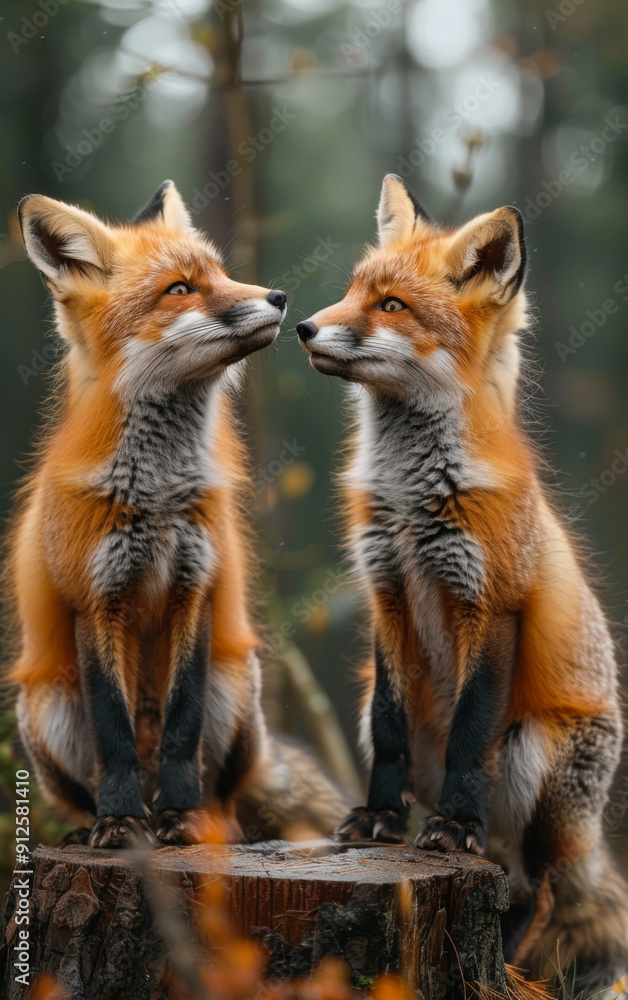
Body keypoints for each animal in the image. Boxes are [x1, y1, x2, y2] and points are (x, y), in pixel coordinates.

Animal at [9, 180, 350, 850]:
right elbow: (114, 735)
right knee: (89, 783)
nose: (279, 297)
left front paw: (184, 817)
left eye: (220, 273)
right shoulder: (97, 598)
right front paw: (120, 824)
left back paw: (206, 821)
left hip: (236, 684)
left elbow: (180, 727)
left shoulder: (195, 587)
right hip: (45, 703)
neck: (158, 498)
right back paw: (96, 824)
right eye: (180, 289)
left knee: (228, 793)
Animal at [296, 174, 628, 991]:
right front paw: (379, 821)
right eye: (353, 291)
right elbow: (388, 727)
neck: (415, 503)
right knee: (509, 874)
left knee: (537, 893)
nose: (305, 328)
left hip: (535, 756)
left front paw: (452, 825)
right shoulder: (384, 592)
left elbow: (472, 732)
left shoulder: (490, 605)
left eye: (391, 306)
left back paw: (503, 966)